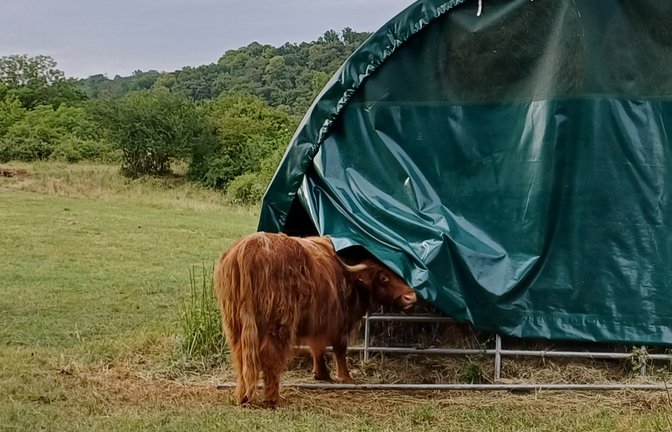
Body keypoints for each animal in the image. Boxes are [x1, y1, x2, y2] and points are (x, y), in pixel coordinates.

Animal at [214, 232, 417, 407]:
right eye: (383, 277)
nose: (411, 297)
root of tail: (248, 248)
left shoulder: (317, 321)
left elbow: (317, 347)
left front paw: (321, 374)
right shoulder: (337, 320)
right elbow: (338, 348)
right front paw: (345, 377)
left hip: (235, 325)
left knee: (241, 357)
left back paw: (244, 397)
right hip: (278, 323)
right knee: (270, 356)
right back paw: (272, 399)